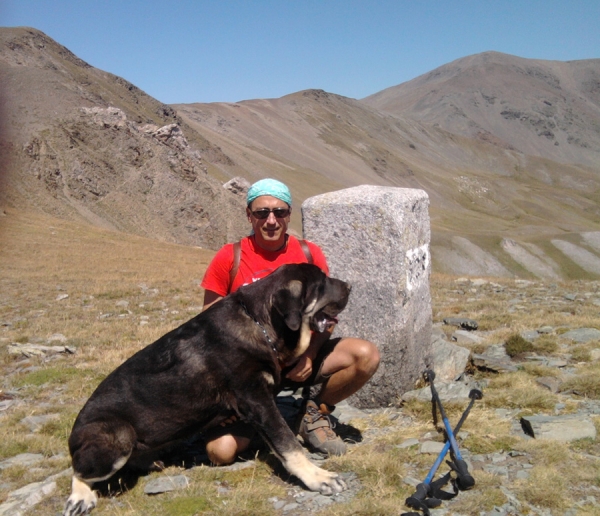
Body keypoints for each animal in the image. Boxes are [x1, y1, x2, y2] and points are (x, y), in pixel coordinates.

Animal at [63, 264, 350, 512]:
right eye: (322, 283)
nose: (349, 285)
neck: (259, 322)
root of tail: (73, 436)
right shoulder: (257, 400)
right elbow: (288, 444)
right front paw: (319, 477)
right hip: (118, 436)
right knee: (79, 471)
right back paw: (81, 497)